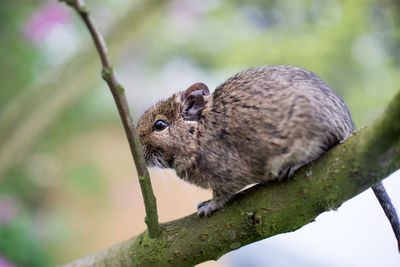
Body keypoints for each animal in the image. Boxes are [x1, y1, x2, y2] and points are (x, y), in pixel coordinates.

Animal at [136, 65, 398, 249]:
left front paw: (207, 206)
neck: (198, 131)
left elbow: (221, 196)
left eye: (160, 125)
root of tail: (348, 129)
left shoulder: (225, 175)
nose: (140, 152)